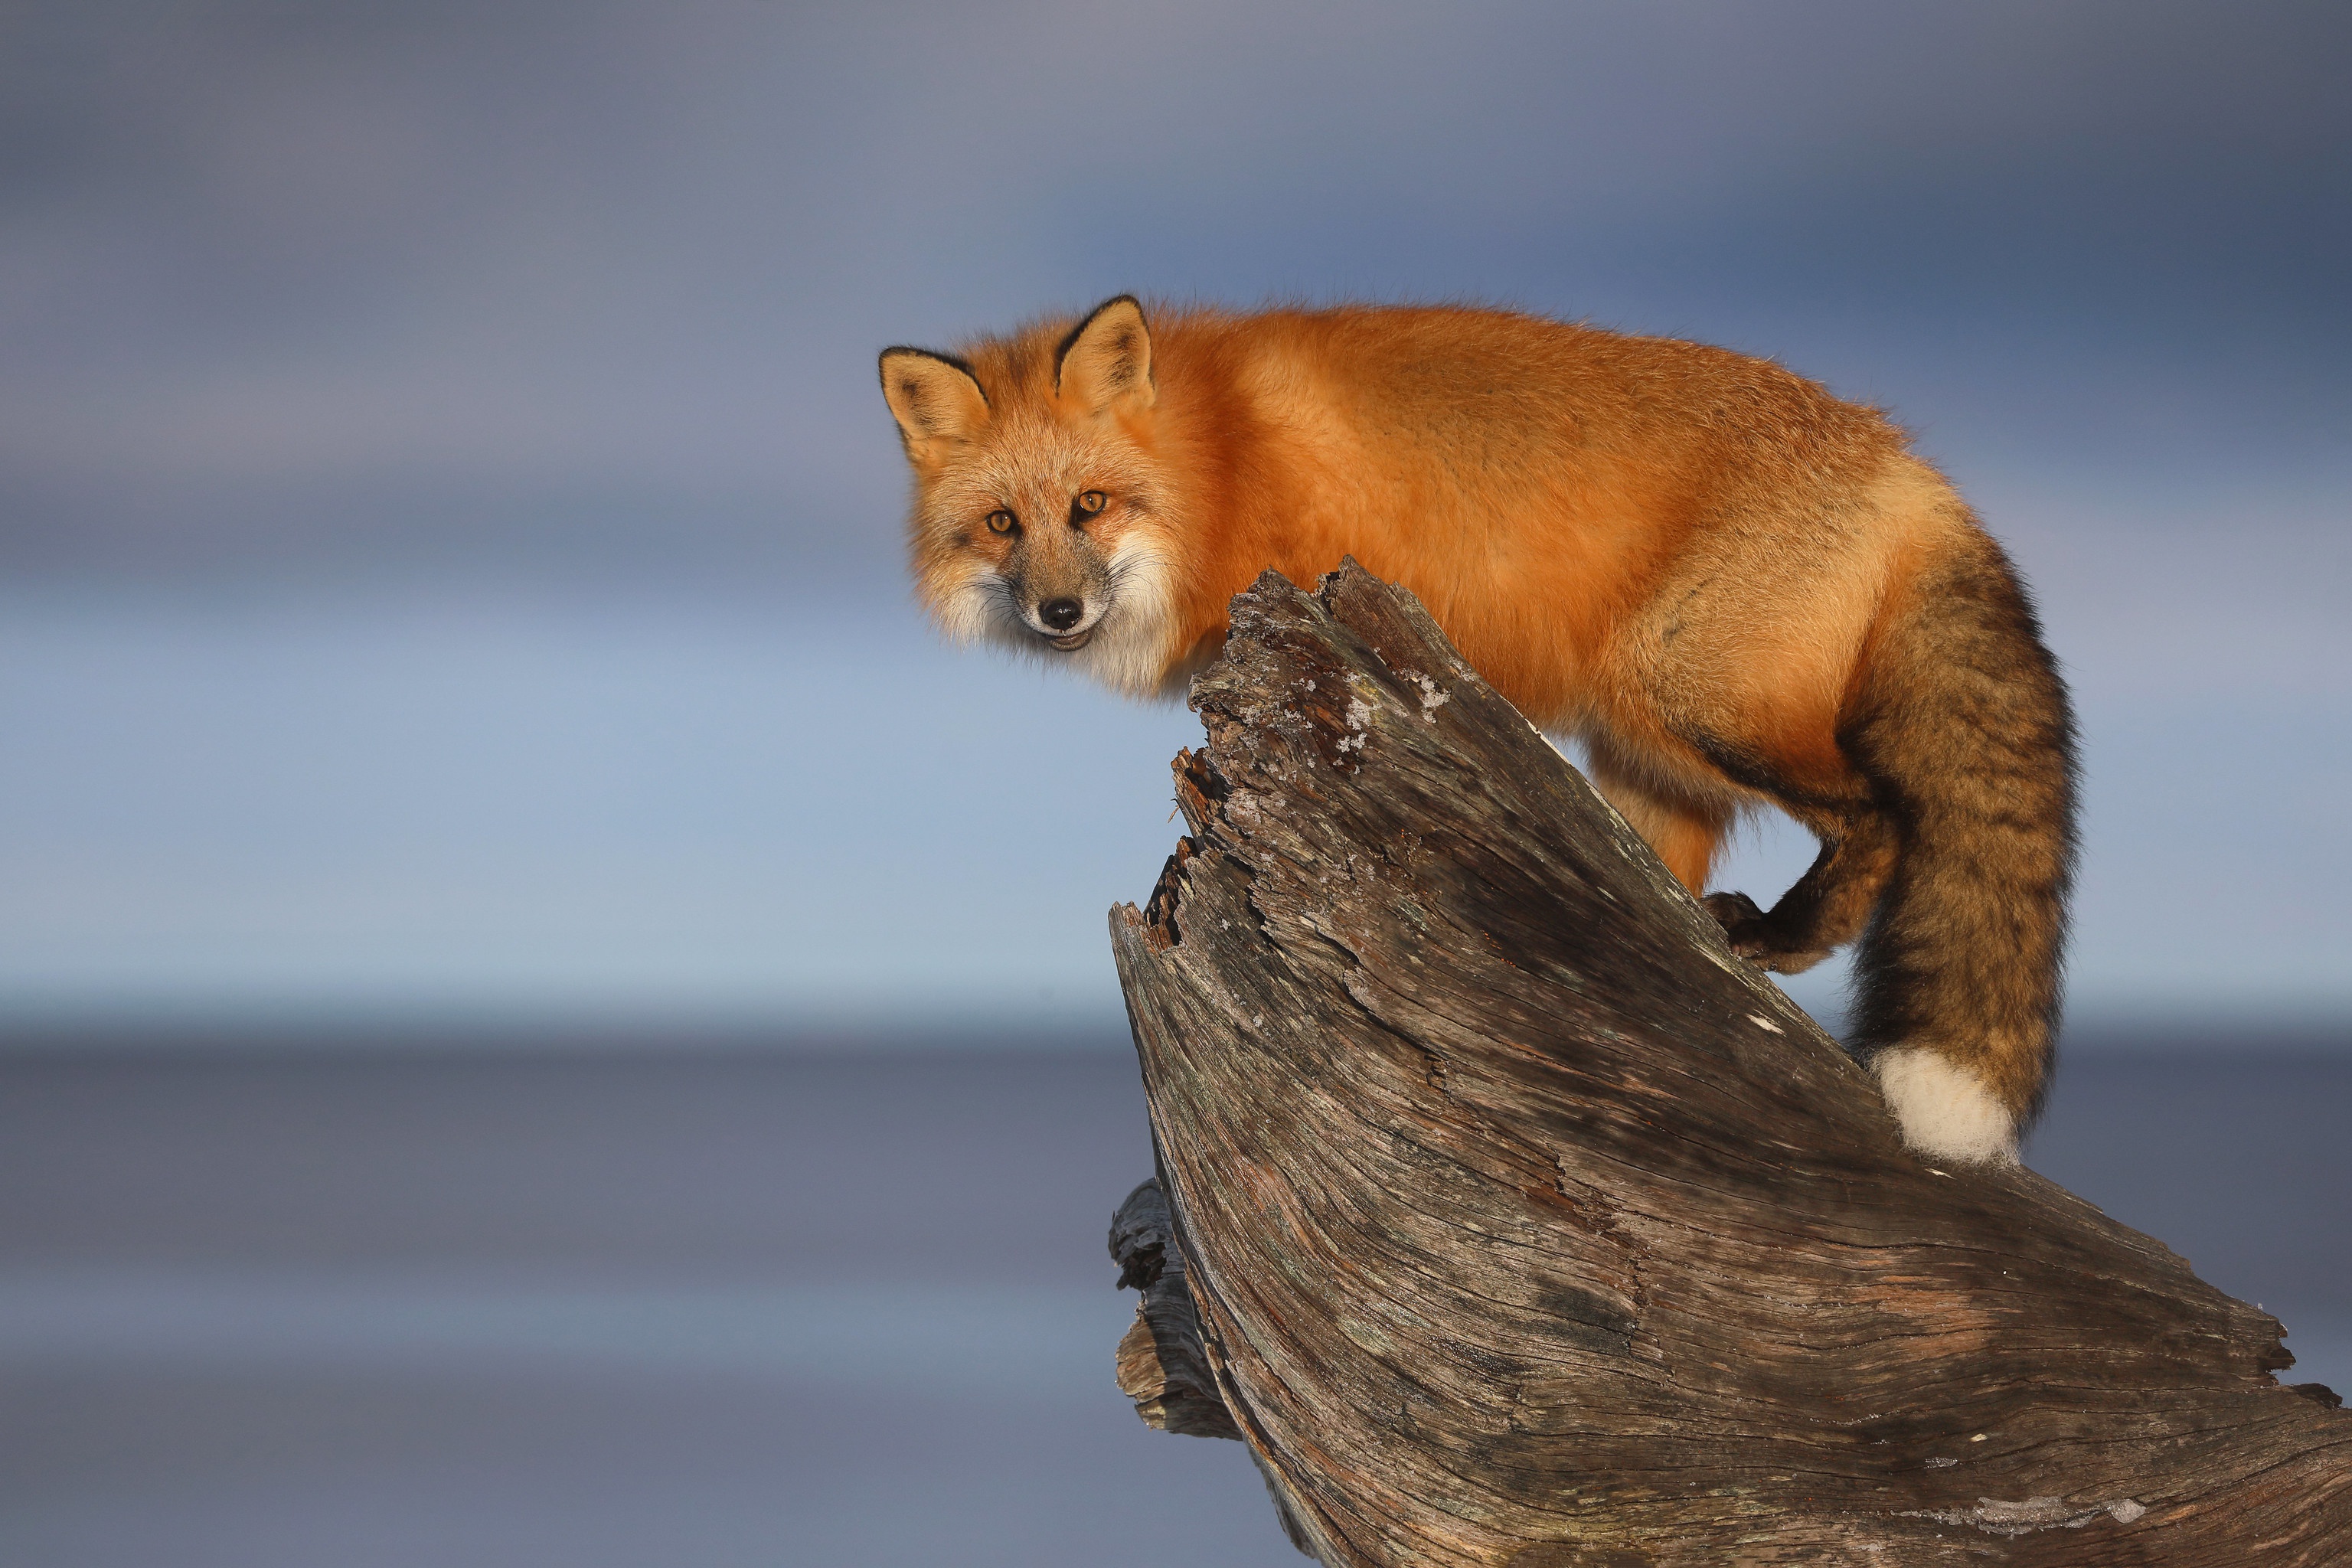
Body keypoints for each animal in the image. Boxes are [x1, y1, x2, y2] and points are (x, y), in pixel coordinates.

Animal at [878, 297, 2077, 1165]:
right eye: (1002, 524)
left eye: (1090, 505)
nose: (1057, 612)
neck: (1223, 459)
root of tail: (1910, 467)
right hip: (1645, 768)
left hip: (1691, 697)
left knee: (1880, 815)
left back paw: (1790, 934)